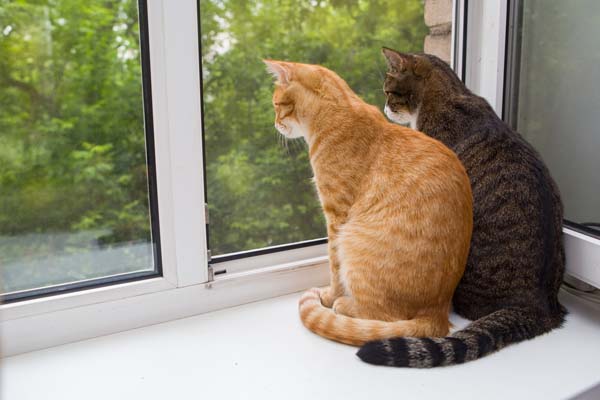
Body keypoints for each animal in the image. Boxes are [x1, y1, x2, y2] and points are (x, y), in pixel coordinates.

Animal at [264, 60, 474, 346]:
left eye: (276, 104)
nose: (275, 124)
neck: (335, 114)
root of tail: (437, 313)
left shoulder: (336, 215)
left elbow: (334, 265)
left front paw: (330, 296)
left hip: (352, 240)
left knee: (384, 316)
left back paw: (344, 304)